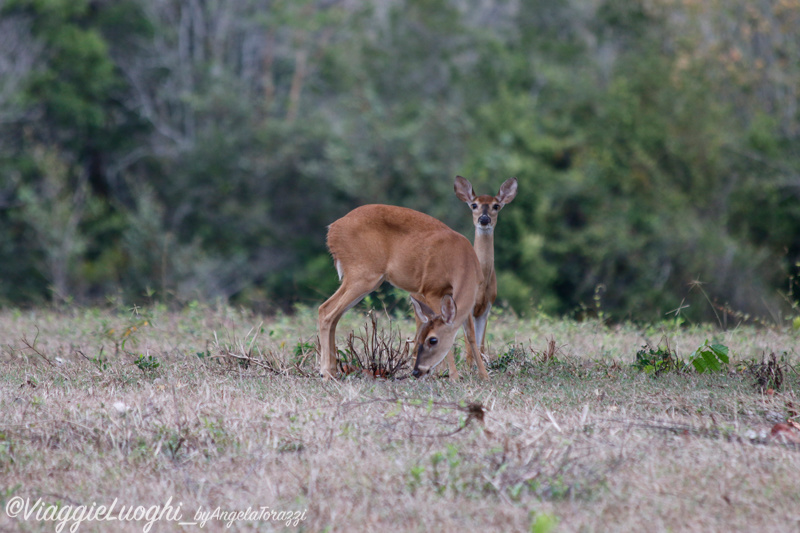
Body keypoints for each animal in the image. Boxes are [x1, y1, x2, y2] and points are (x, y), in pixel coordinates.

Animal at [318, 203, 488, 378]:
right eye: (431, 339)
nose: (417, 371)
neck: (461, 260)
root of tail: (333, 229)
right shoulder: (432, 290)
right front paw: (454, 377)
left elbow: (470, 334)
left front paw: (484, 376)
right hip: (362, 274)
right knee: (326, 311)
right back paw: (326, 372)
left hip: (365, 278)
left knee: (332, 313)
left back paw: (332, 371)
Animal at [450, 177, 520, 364]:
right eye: (474, 205)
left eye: (496, 205)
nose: (483, 219)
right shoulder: (467, 306)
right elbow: (469, 346)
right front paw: (468, 367)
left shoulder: (486, 307)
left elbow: (480, 345)